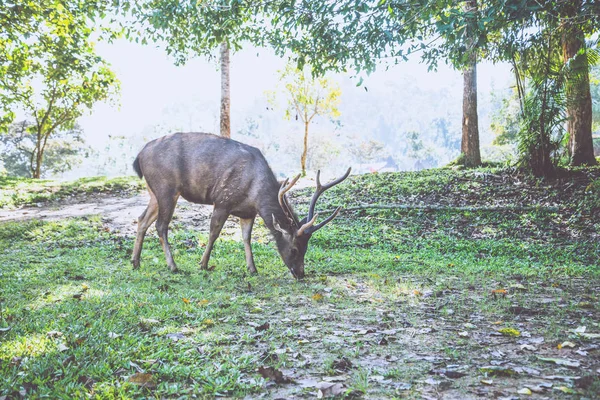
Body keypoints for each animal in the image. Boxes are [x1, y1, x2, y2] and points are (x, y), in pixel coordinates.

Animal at [129, 131, 350, 278]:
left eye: (306, 249)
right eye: (295, 249)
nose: (301, 274)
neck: (255, 193)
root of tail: (139, 156)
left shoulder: (248, 212)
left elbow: (246, 238)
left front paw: (252, 268)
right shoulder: (222, 200)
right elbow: (214, 233)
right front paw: (203, 264)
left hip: (154, 192)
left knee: (142, 219)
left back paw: (135, 262)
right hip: (166, 188)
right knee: (161, 225)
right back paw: (173, 266)